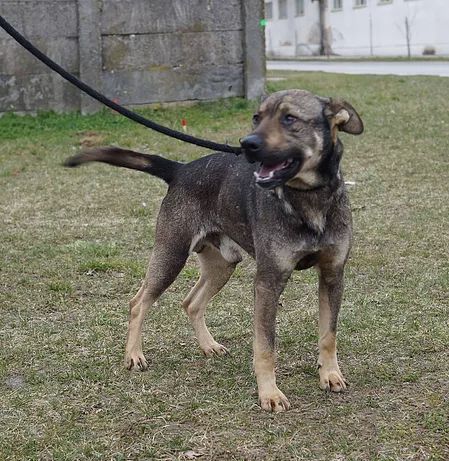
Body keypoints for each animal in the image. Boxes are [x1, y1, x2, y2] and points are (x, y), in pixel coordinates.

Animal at [65, 89, 363, 412]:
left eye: (289, 118)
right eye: (256, 117)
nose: (247, 144)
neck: (309, 199)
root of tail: (180, 169)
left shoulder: (333, 275)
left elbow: (328, 335)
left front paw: (330, 375)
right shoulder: (268, 283)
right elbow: (265, 347)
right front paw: (269, 394)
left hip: (222, 264)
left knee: (191, 303)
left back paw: (208, 345)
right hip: (171, 255)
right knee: (138, 303)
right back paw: (134, 355)